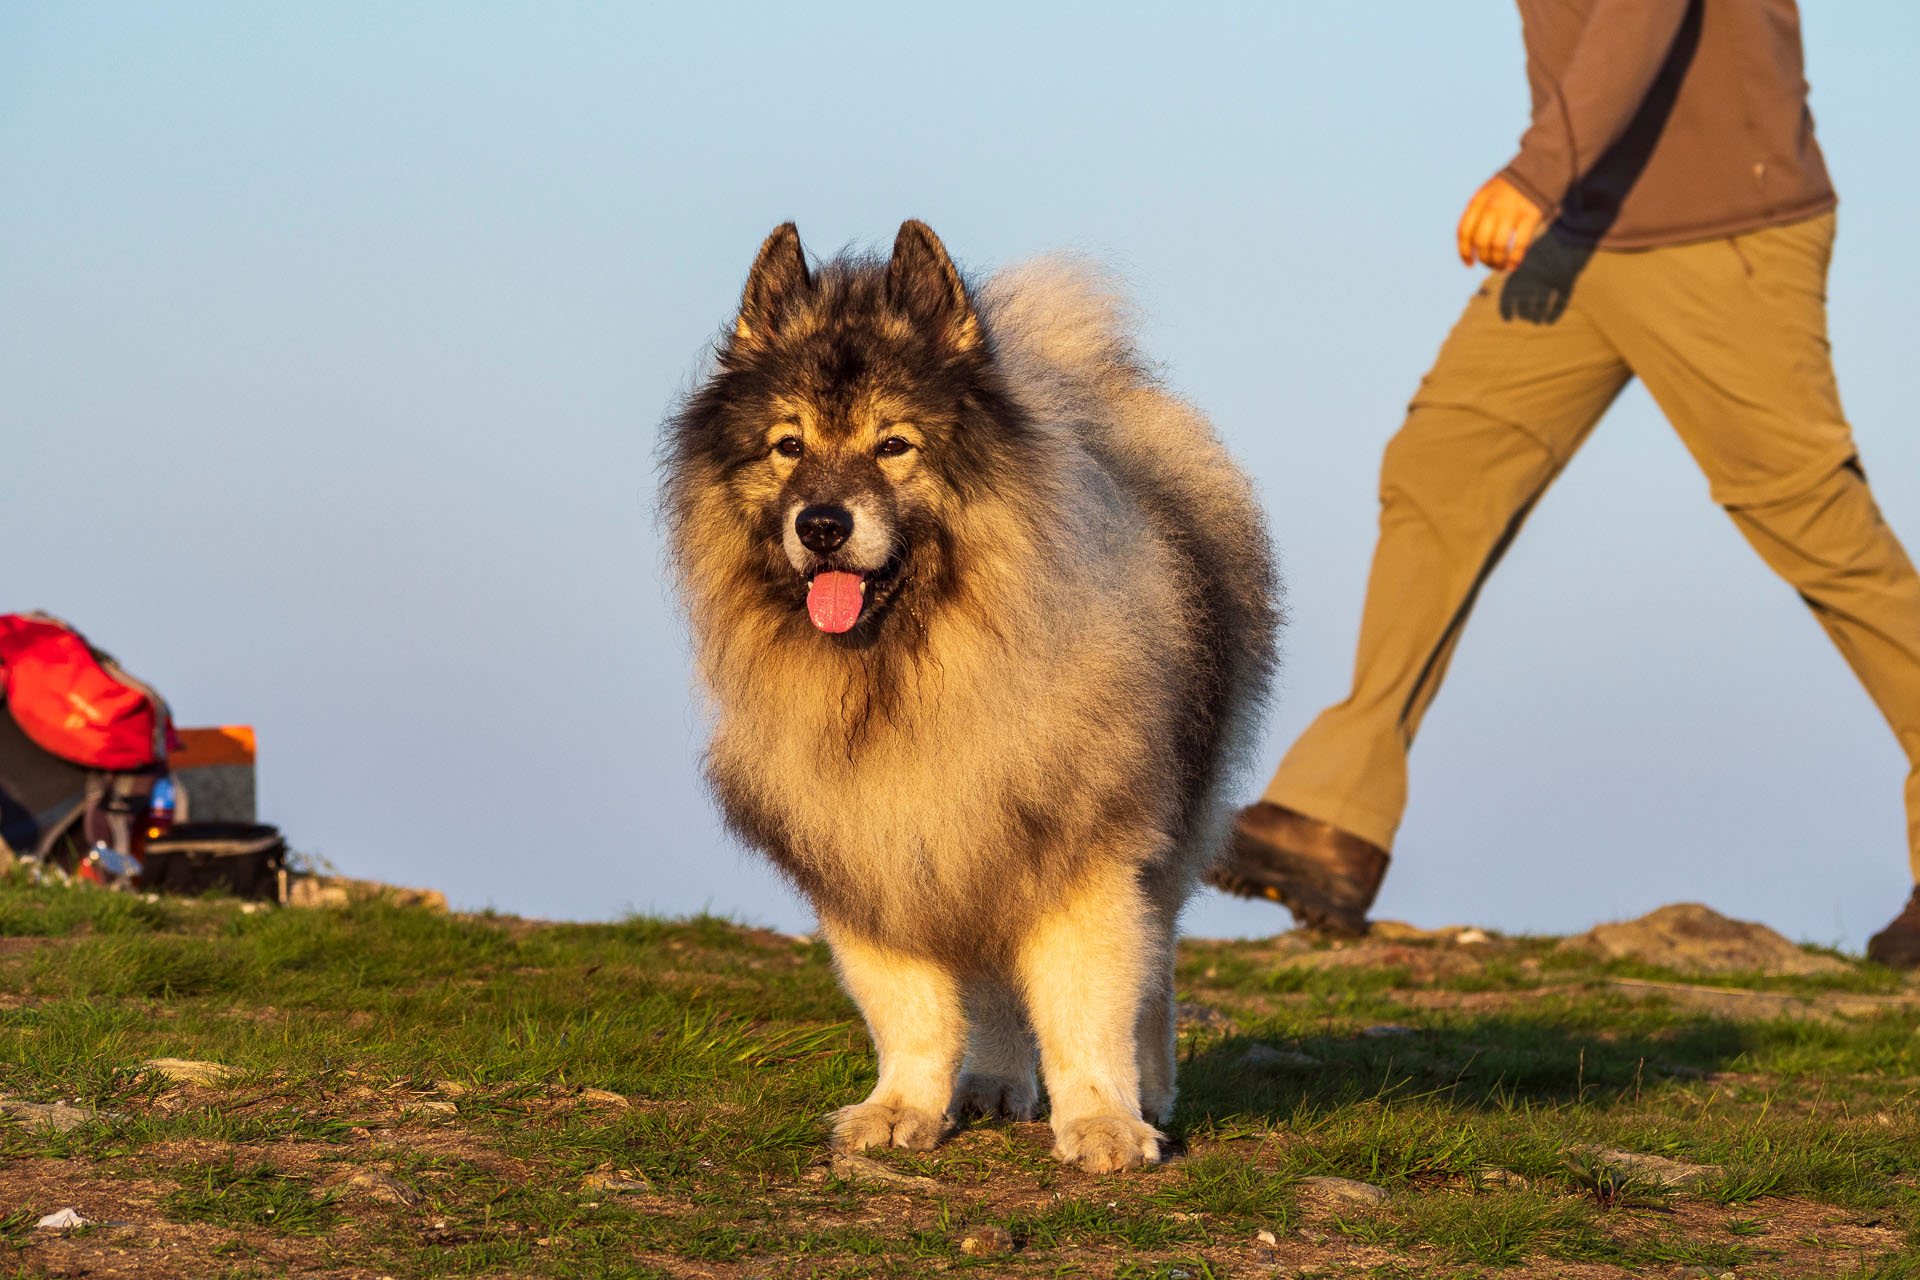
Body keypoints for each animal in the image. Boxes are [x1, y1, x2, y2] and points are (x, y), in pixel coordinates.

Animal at [660, 222, 1274, 1174]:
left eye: (894, 445)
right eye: (788, 446)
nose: (822, 525)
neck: (909, 669)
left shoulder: (1081, 846)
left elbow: (1087, 1003)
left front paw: (1104, 1122)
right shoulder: (879, 843)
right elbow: (909, 1005)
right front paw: (904, 1105)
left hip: (1166, 829)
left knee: (1156, 967)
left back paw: (1151, 1088)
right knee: (987, 983)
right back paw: (992, 1082)